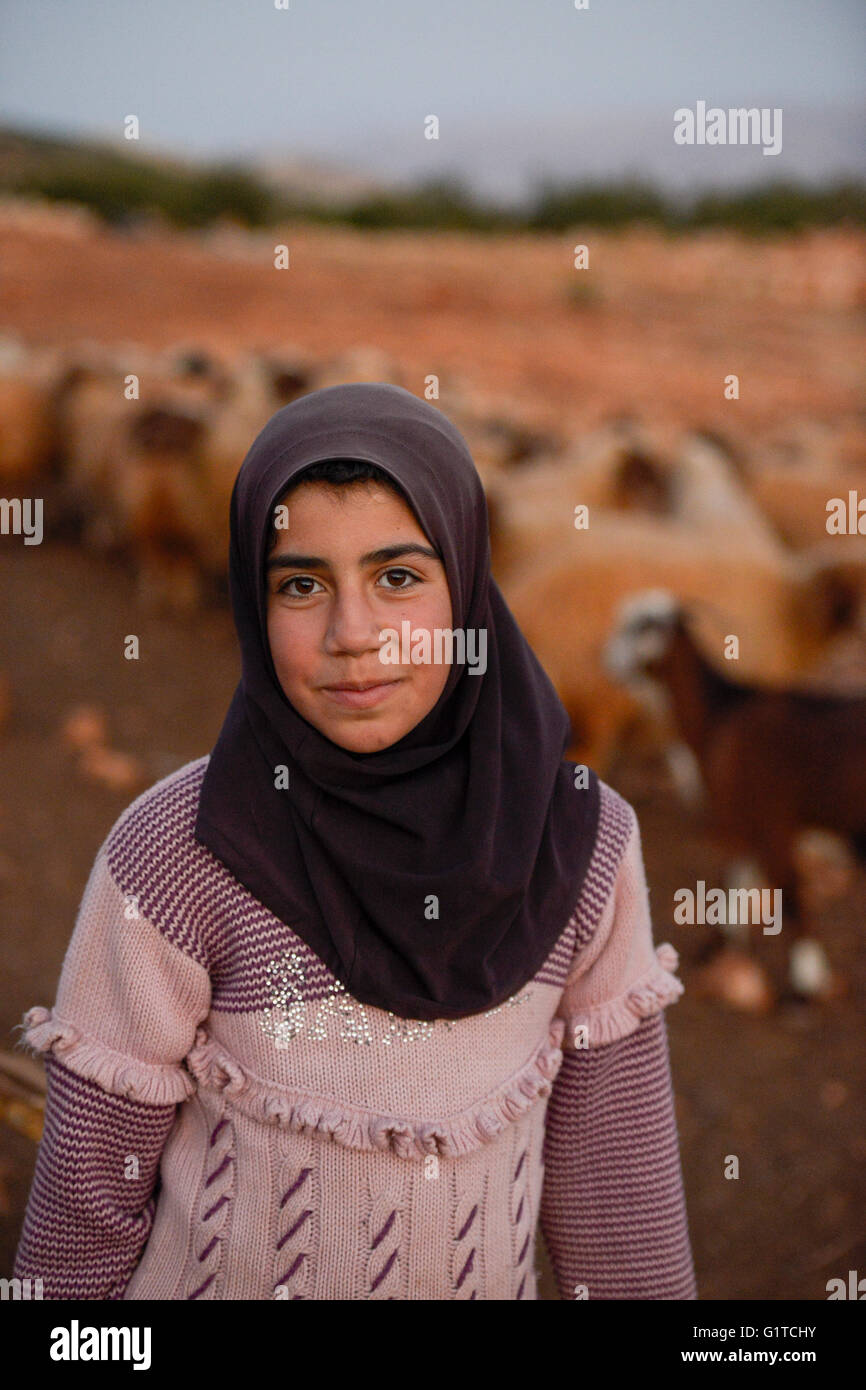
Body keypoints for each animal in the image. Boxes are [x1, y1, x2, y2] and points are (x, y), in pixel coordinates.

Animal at [603, 592, 866, 1006]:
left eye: (644, 626)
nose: (607, 661)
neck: (722, 714)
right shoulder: (744, 819)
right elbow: (738, 877)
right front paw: (724, 947)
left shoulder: (774, 818)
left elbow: (790, 894)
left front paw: (804, 986)